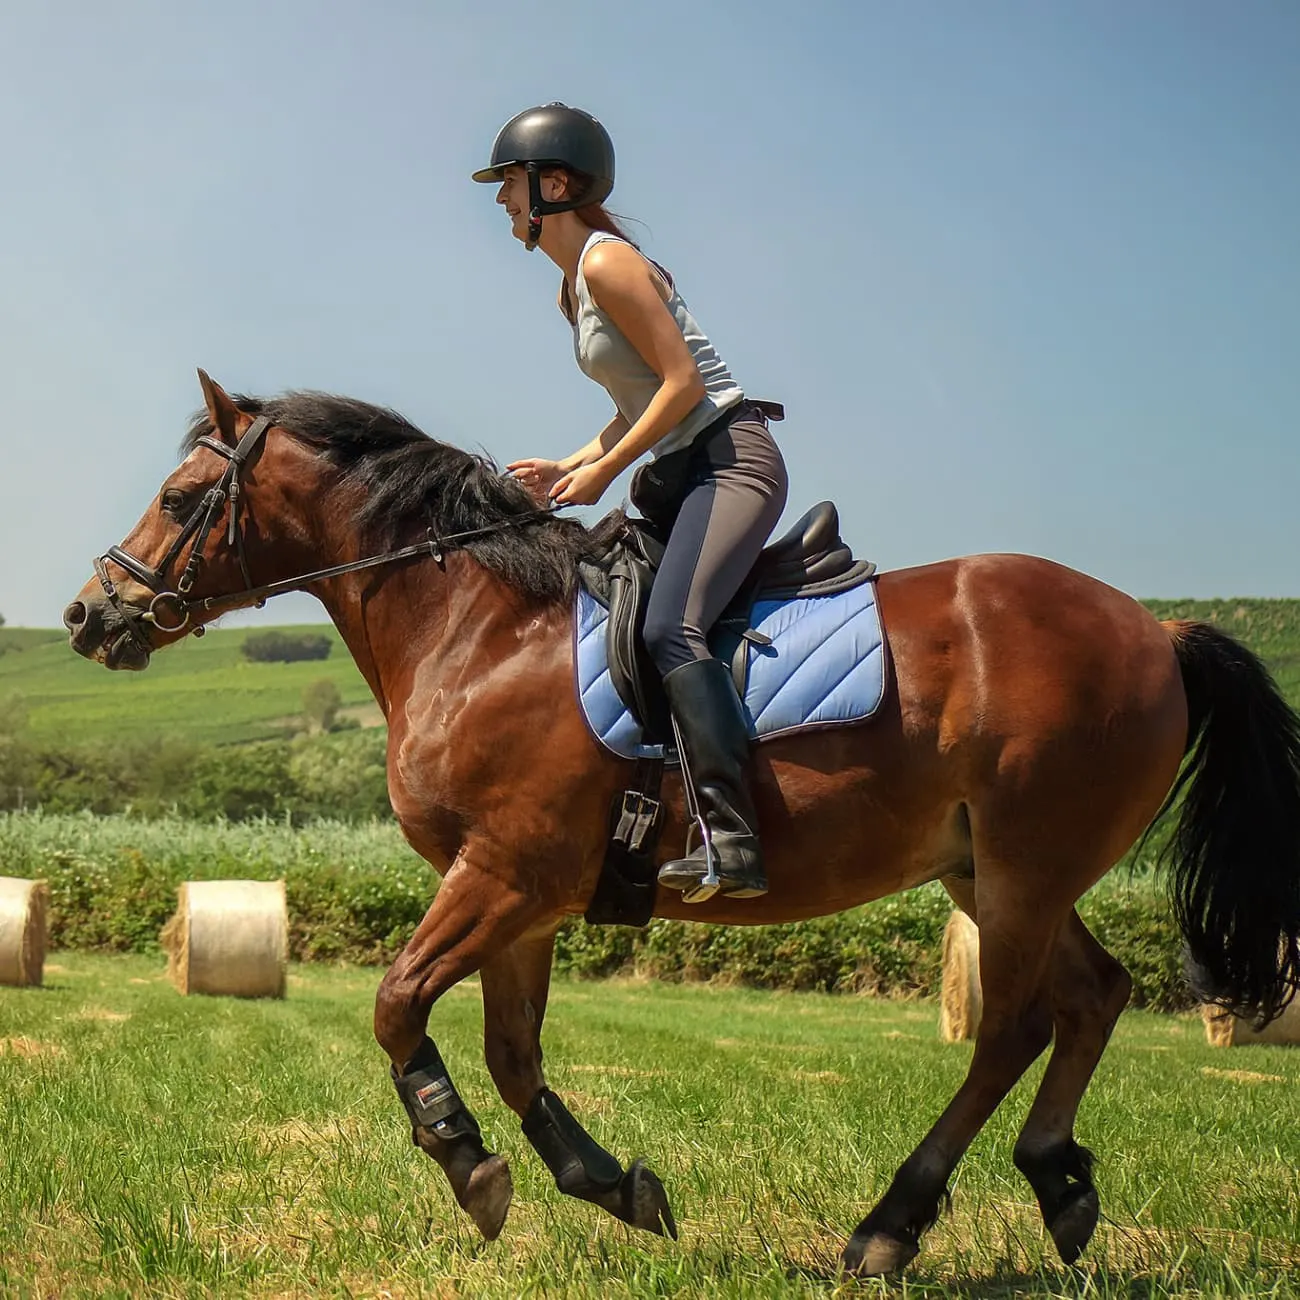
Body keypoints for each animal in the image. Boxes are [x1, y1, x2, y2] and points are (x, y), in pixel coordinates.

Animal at [65, 371, 1300, 1274]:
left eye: (177, 500)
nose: (88, 613)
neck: (474, 627)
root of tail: (1155, 629)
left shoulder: (504, 873)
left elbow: (396, 1002)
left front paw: (466, 1165)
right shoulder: (522, 899)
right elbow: (513, 1054)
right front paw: (612, 1186)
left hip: (1023, 868)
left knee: (1008, 1029)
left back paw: (888, 1225)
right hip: (987, 871)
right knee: (1094, 996)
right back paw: (1058, 1183)